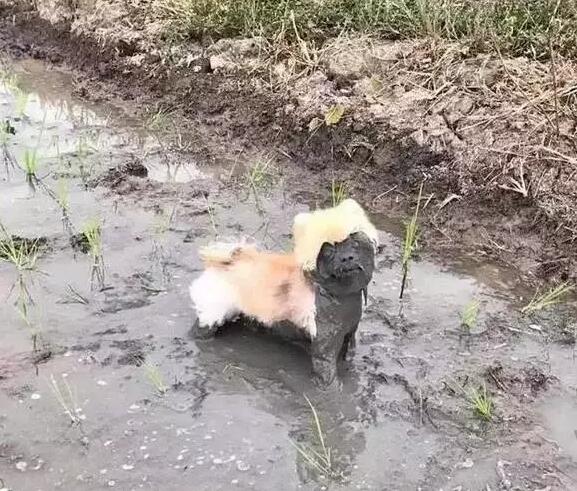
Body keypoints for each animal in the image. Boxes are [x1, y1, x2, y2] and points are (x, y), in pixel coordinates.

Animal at [189, 198, 378, 386]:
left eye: (354, 242)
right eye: (328, 251)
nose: (346, 258)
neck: (338, 295)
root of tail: (226, 262)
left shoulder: (349, 333)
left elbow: (348, 352)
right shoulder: (325, 345)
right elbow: (327, 371)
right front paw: (333, 390)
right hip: (213, 312)